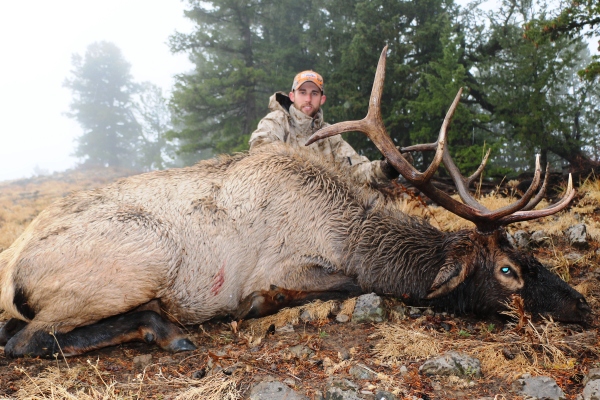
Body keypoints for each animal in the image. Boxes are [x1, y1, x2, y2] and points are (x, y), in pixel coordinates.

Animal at [0, 48, 592, 358]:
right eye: (509, 269)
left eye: (532, 258)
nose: (583, 305)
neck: (350, 236)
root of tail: (9, 267)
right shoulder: (283, 266)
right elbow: (346, 284)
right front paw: (261, 306)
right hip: (140, 259)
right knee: (27, 339)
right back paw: (166, 330)